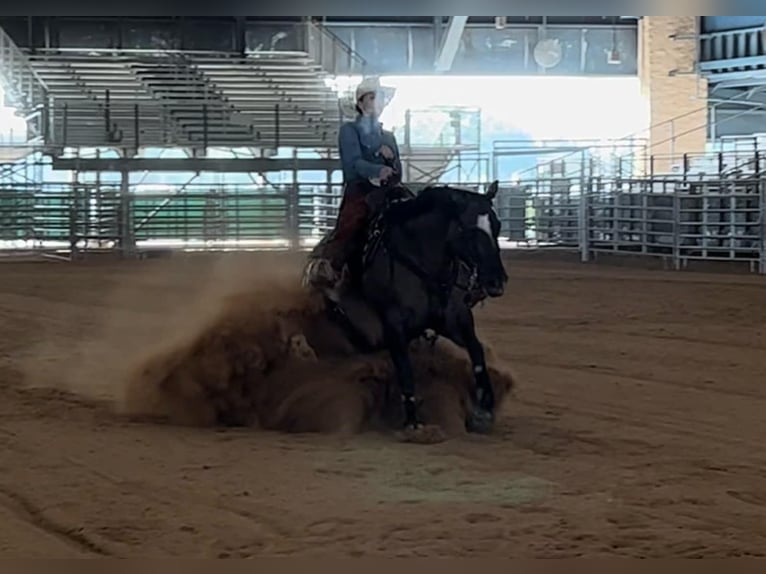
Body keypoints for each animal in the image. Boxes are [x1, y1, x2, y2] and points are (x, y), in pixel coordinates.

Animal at [304, 182, 510, 434]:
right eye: (468, 228)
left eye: (497, 225)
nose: (496, 281)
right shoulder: (394, 325)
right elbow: (404, 369)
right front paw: (413, 422)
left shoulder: (455, 319)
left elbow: (477, 352)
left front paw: (484, 410)